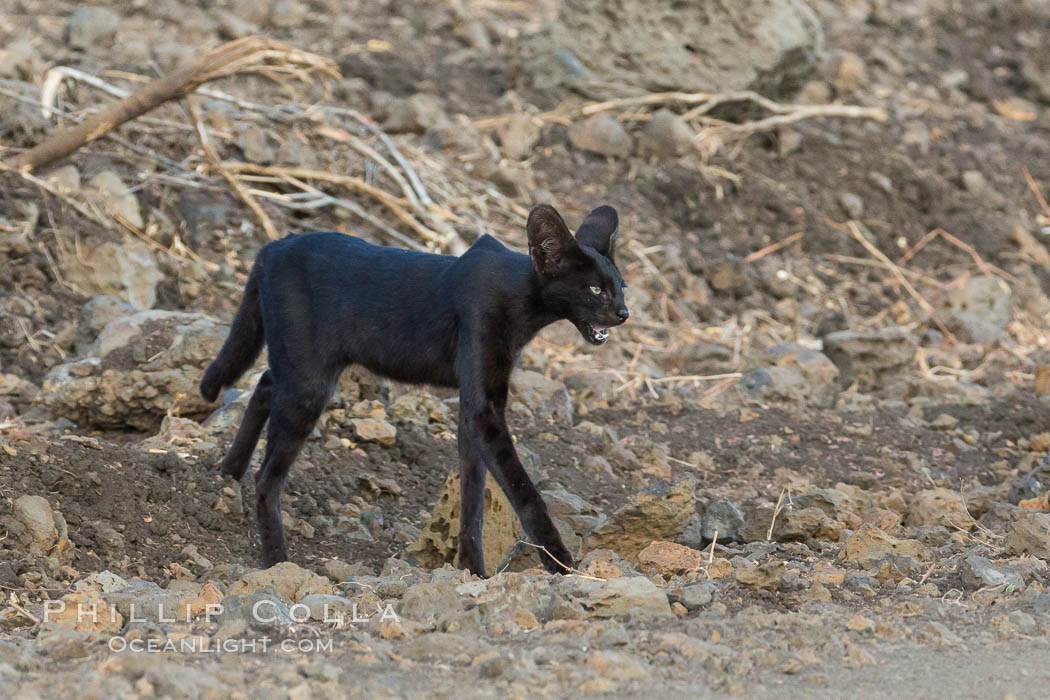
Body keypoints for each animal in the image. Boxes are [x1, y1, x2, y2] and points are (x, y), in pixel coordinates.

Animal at [200, 205, 625, 579]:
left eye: (621, 287)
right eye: (595, 289)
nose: (624, 313)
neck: (523, 302)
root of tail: (274, 244)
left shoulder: (475, 404)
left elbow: (473, 496)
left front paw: (473, 570)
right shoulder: (484, 407)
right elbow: (522, 490)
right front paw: (562, 564)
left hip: (302, 368)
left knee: (264, 383)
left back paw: (229, 471)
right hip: (309, 380)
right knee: (267, 476)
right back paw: (277, 561)